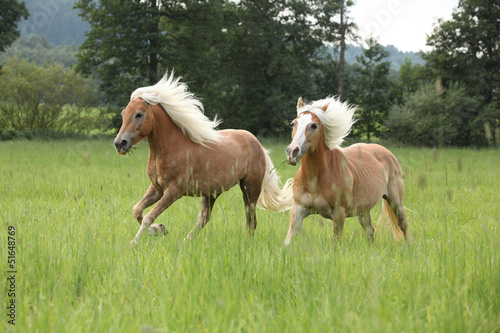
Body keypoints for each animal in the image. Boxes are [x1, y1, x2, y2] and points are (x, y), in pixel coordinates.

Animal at [113, 71, 292, 244]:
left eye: (139, 114)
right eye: (124, 113)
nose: (119, 143)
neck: (171, 148)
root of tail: (257, 143)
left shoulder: (174, 191)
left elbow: (148, 216)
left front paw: (134, 242)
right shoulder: (157, 188)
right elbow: (137, 210)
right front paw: (160, 229)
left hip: (250, 187)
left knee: (250, 219)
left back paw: (247, 244)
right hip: (212, 192)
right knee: (205, 217)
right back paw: (187, 240)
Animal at [286, 96, 406, 244]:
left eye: (314, 125)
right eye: (294, 123)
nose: (293, 152)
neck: (315, 178)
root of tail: (388, 153)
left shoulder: (339, 214)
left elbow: (336, 242)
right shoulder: (297, 211)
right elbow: (288, 241)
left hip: (396, 202)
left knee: (403, 224)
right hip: (364, 209)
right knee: (369, 231)